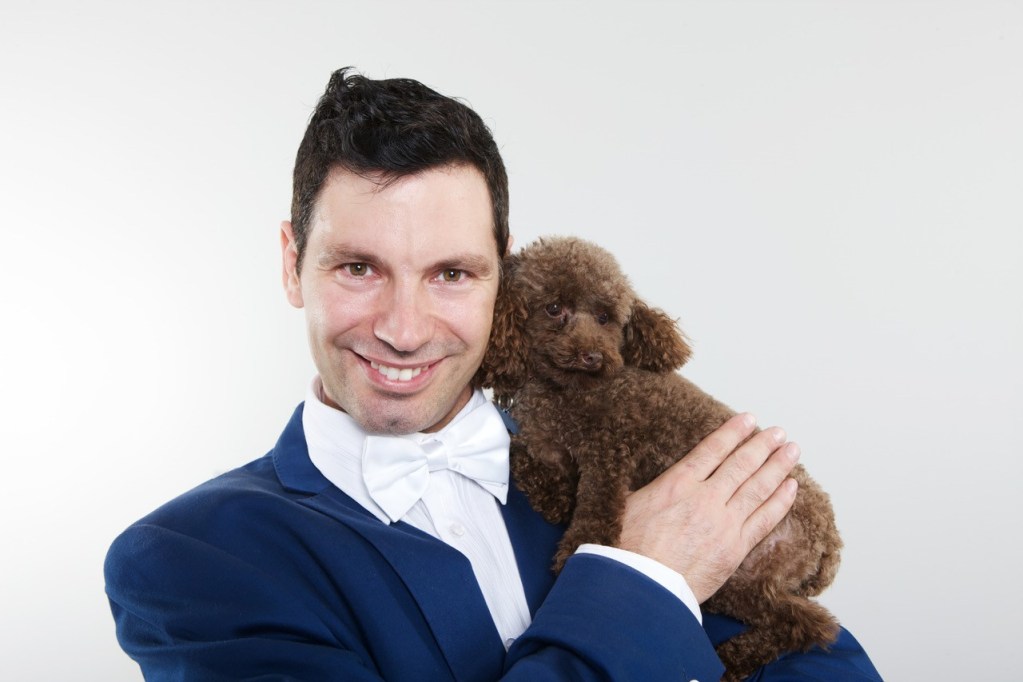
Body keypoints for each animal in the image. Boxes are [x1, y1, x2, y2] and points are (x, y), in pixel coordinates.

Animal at [474, 236, 842, 680]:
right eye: (554, 308)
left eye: (605, 317)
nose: (593, 356)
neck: (561, 393)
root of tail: (830, 540)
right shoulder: (549, 448)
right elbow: (523, 460)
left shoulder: (610, 447)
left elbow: (596, 503)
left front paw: (580, 546)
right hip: (739, 576)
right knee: (795, 620)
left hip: (765, 561)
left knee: (814, 625)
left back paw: (733, 658)